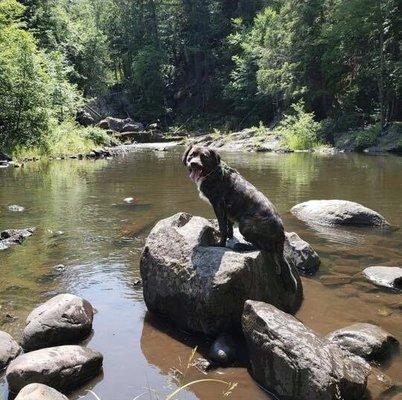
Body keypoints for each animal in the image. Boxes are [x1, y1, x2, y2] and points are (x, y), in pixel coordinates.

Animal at [182, 145, 298, 290]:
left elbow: (222, 227)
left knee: (264, 248)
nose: (193, 163)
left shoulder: (219, 205)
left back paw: (242, 245)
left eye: (204, 156)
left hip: (246, 223)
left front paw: (220, 244)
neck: (214, 172)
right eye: (192, 155)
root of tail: (281, 234)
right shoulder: (227, 209)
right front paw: (230, 236)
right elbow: (229, 225)